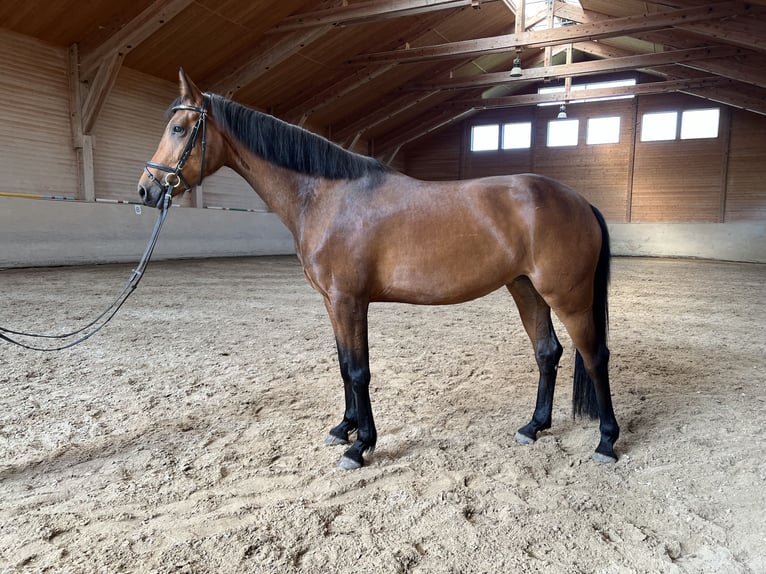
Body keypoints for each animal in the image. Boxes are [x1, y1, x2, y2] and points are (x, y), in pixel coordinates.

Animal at [136, 68, 616, 472]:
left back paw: (607, 441)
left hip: (568, 296)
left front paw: (361, 445)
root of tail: (579, 202)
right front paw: (344, 428)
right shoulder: (333, 303)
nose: (146, 189)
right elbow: (343, 364)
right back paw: (534, 426)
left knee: (595, 356)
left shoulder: (350, 301)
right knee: (547, 353)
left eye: (179, 128)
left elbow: (358, 371)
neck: (328, 196)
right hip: (526, 289)